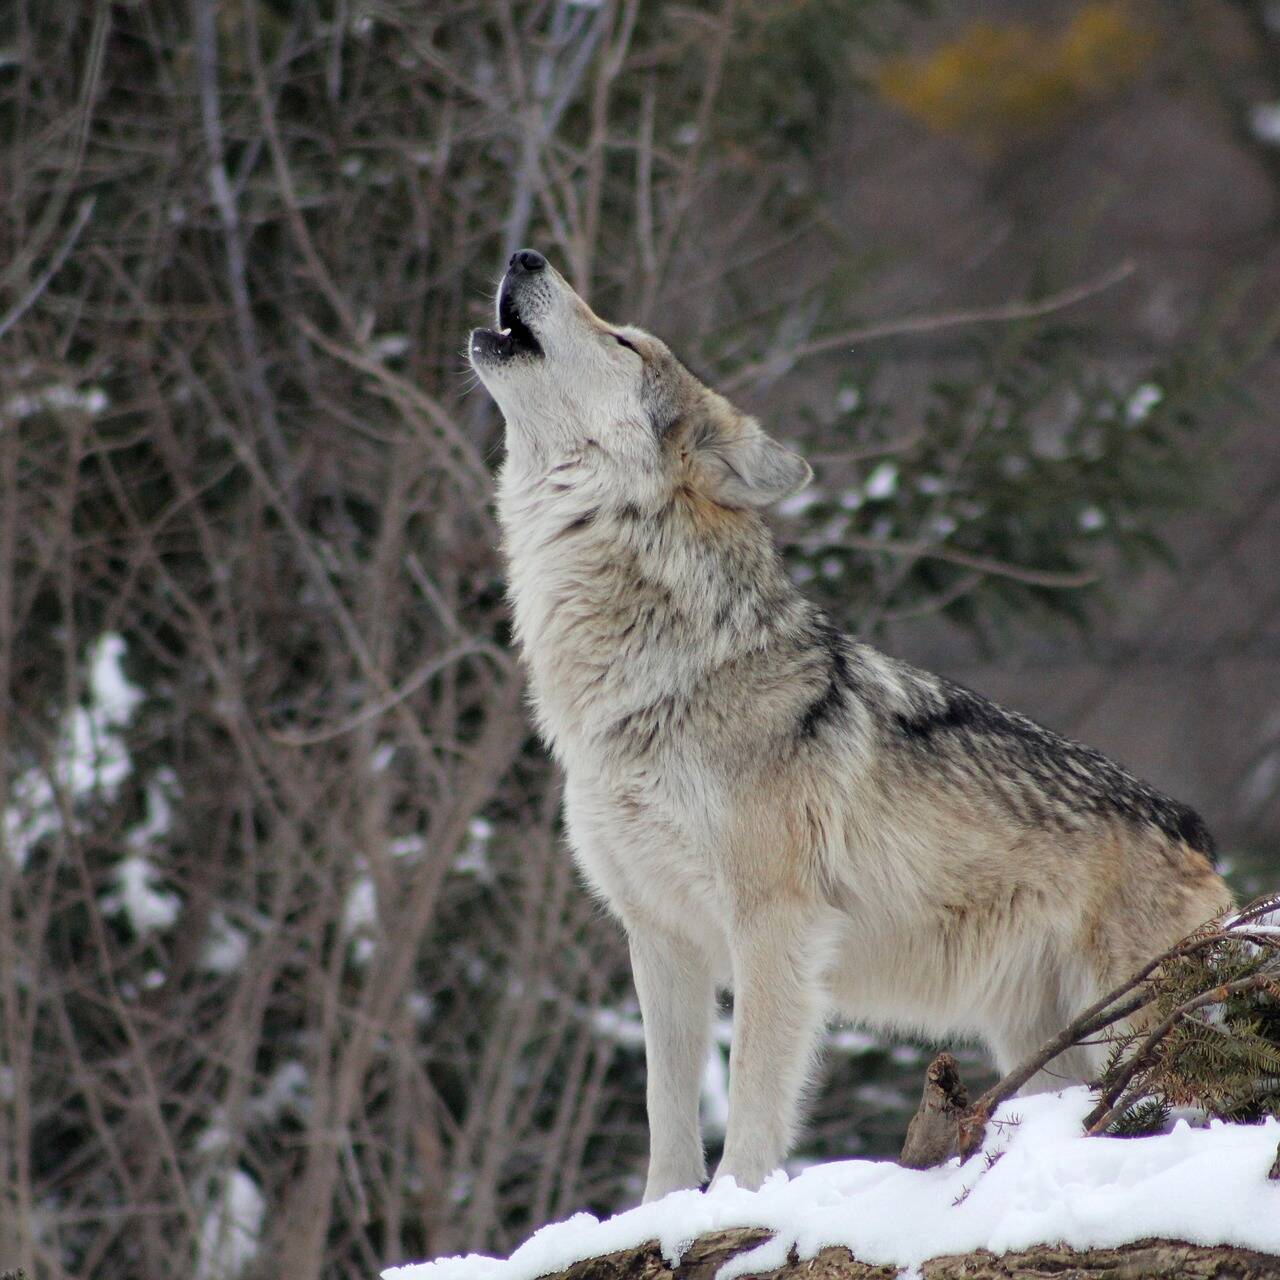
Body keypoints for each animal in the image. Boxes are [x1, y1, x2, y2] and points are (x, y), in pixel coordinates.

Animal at [468, 249, 1233, 1201]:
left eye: (624, 341)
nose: (524, 255)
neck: (655, 679)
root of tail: (1195, 830)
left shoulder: (775, 926)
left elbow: (753, 1097)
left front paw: (734, 1205)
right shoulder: (660, 937)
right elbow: (666, 1115)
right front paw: (660, 1214)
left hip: (1135, 1029)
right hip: (1045, 1046)